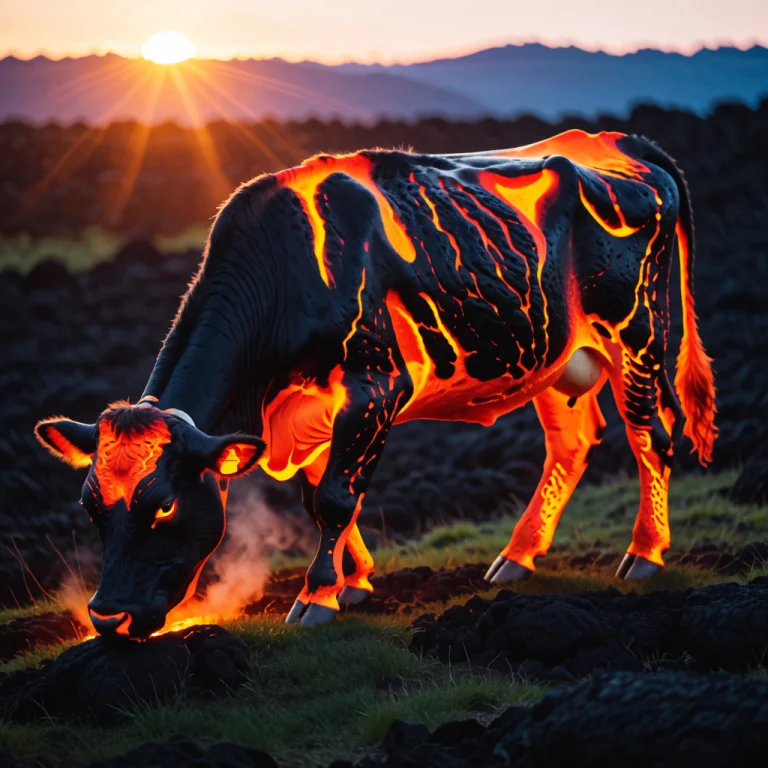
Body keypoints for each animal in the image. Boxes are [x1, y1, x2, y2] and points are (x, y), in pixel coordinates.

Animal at [35, 129, 717, 636]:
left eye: (165, 505)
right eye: (90, 506)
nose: (108, 619)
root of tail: (618, 141)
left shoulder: (373, 387)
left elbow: (338, 496)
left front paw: (315, 598)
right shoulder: (307, 406)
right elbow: (320, 495)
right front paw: (353, 582)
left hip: (638, 332)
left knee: (651, 436)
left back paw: (645, 554)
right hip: (553, 353)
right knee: (572, 444)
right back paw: (518, 556)